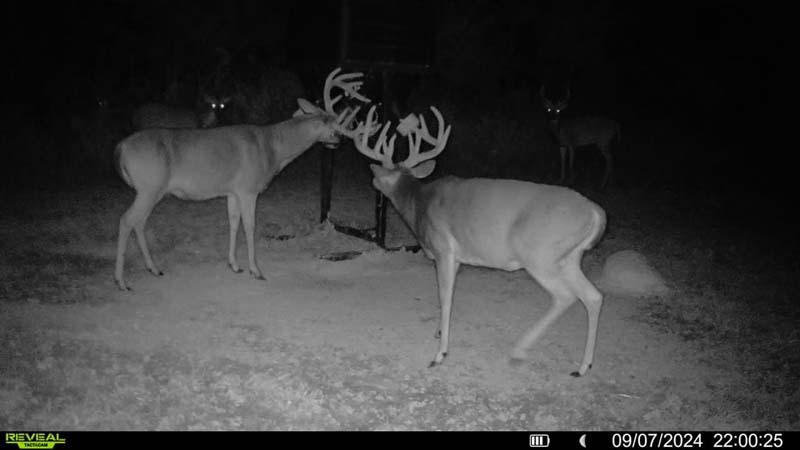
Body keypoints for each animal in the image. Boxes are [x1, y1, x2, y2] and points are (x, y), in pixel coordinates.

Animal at [113, 68, 372, 290]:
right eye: (330, 122)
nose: (340, 140)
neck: (273, 149)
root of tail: (121, 148)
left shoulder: (232, 190)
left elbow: (233, 222)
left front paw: (234, 265)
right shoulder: (248, 189)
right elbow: (250, 226)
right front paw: (256, 270)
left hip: (151, 190)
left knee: (139, 222)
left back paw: (154, 269)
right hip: (149, 186)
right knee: (127, 220)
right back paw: (122, 281)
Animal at [351, 105, 606, 376]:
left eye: (379, 176)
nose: (372, 181)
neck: (419, 203)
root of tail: (595, 213)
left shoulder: (443, 249)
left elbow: (445, 297)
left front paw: (440, 354)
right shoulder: (457, 258)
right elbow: (449, 295)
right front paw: (439, 332)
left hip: (540, 256)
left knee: (565, 296)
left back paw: (519, 349)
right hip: (569, 258)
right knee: (593, 296)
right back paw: (583, 366)